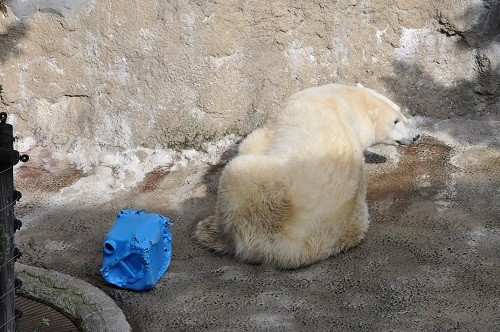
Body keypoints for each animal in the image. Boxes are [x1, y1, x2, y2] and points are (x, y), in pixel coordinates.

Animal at [193, 83, 420, 270]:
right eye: (397, 119)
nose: (416, 135)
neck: (344, 100)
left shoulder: (281, 119)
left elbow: (252, 142)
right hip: (353, 220)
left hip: (263, 189)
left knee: (235, 178)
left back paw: (208, 230)